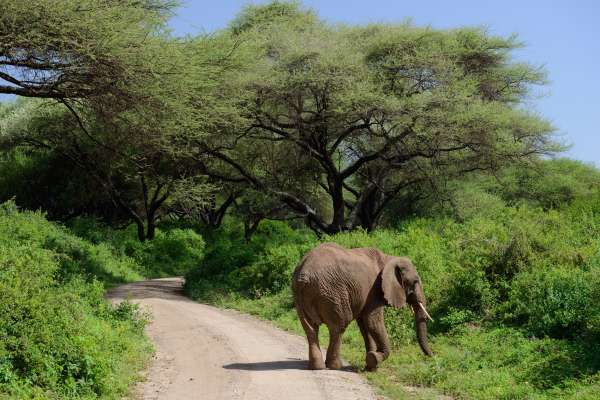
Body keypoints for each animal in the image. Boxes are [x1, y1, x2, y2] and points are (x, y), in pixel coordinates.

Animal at [290, 242, 432, 370]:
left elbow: (364, 324)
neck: (389, 258)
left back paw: (317, 367)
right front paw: (374, 359)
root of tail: (304, 275)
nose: (432, 355)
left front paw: (371, 366)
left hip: (299, 294)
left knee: (310, 328)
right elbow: (372, 321)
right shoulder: (374, 290)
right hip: (332, 293)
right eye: (415, 282)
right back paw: (335, 366)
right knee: (338, 327)